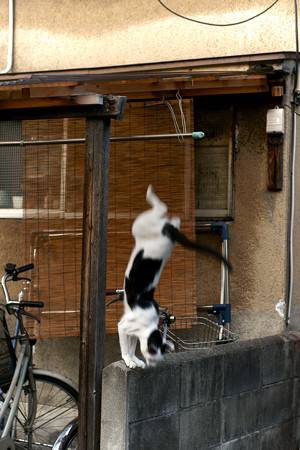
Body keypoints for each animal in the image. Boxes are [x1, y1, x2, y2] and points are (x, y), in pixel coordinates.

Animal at [118, 185, 231, 368]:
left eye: (158, 356)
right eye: (152, 353)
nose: (152, 364)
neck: (147, 325)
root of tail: (171, 232)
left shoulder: (133, 332)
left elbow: (132, 345)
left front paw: (135, 360)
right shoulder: (123, 327)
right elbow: (126, 347)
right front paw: (129, 360)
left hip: (147, 229)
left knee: (165, 212)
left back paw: (167, 211)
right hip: (141, 225)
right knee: (161, 210)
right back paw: (152, 196)